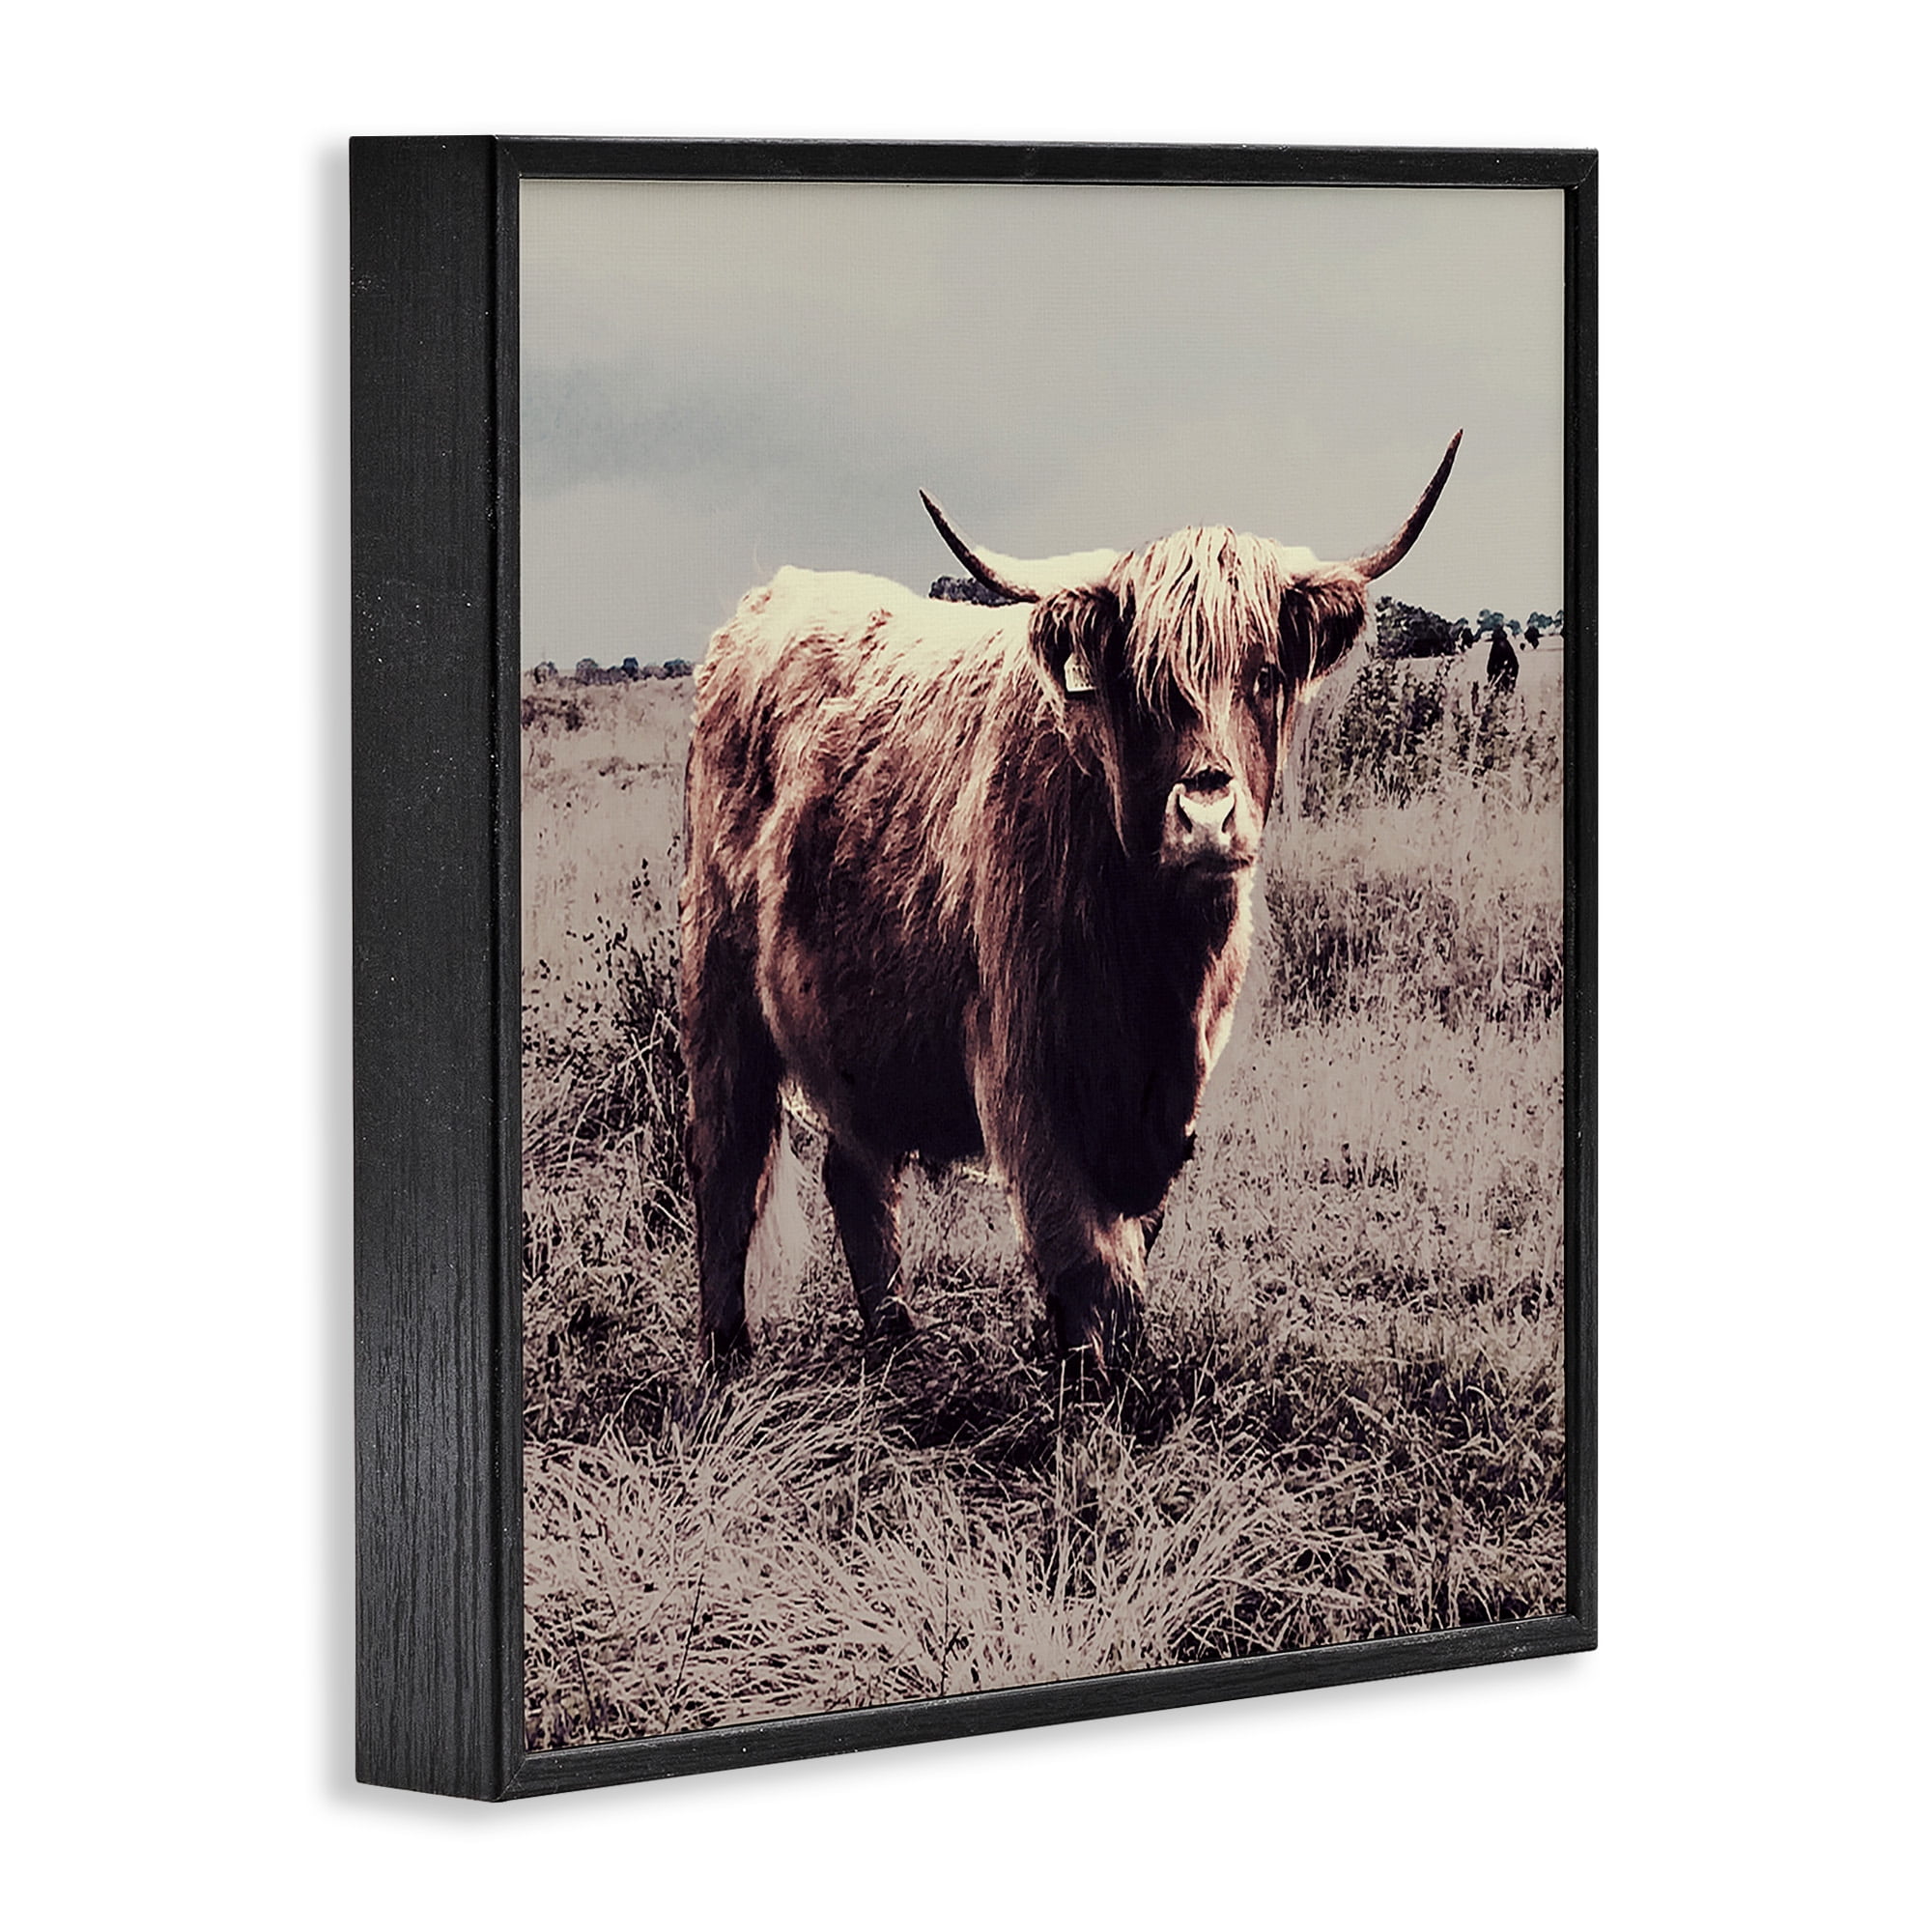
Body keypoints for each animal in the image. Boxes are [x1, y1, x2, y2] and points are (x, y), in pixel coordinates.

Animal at [679, 434, 1461, 1377]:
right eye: (1143, 684)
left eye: (1267, 674)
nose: (1207, 815)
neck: (1155, 963)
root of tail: (770, 599)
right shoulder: (1027, 1075)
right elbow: (1087, 1262)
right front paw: (1093, 1391)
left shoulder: (1170, 1101)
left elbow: (1128, 1247)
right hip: (720, 993)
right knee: (727, 1165)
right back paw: (726, 1358)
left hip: (852, 1023)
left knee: (855, 1173)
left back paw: (897, 1344)